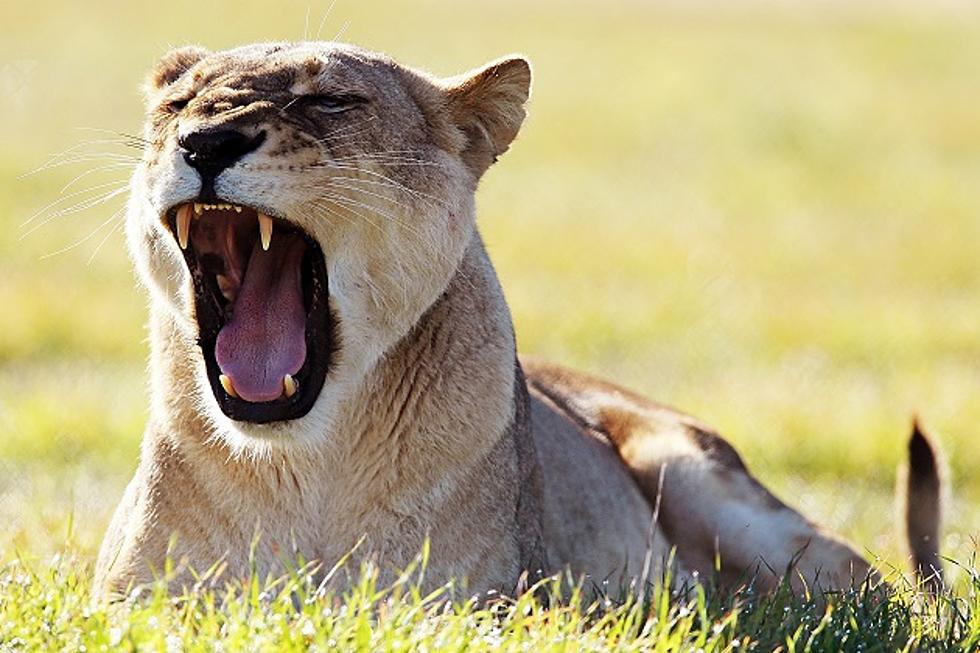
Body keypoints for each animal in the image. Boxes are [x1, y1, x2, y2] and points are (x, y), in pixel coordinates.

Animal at [94, 40, 940, 600]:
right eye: (177, 105)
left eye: (331, 100)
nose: (206, 141)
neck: (303, 465)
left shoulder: (480, 605)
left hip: (711, 484)